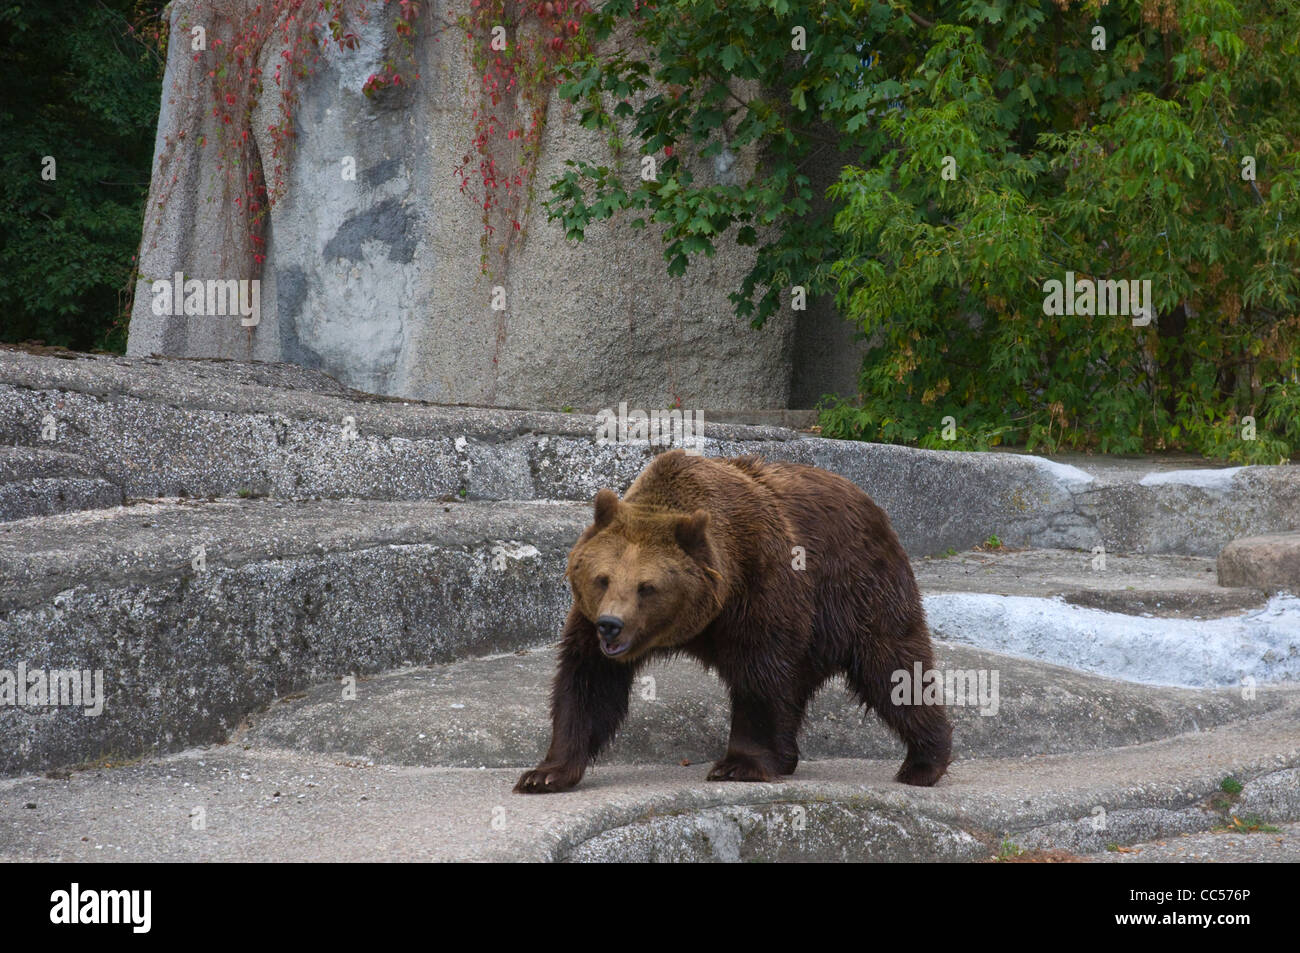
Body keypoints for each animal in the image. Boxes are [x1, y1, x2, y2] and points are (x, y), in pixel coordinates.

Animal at [514, 449, 951, 793]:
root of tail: (871, 502)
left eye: (646, 586)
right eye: (602, 578)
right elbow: (587, 683)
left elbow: (759, 675)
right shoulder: (589, 624)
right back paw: (788, 756)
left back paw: (924, 762)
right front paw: (544, 774)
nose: (611, 625)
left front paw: (739, 764)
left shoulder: (760, 586)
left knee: (893, 667)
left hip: (859, 590)